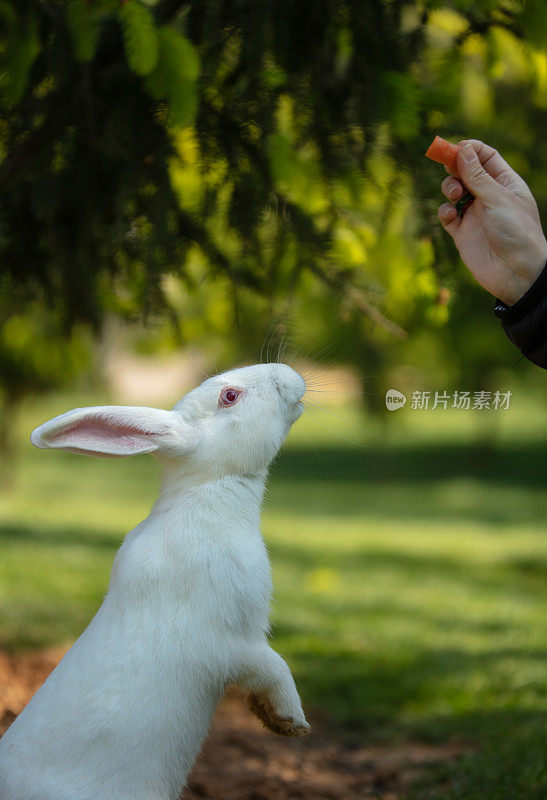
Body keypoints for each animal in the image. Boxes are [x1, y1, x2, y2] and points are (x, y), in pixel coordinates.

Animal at [0, 364, 310, 800]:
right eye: (229, 396)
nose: (290, 374)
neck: (205, 491)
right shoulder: (232, 643)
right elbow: (273, 667)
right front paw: (289, 721)